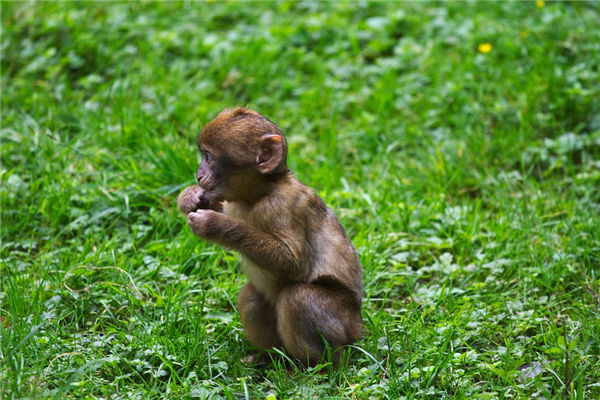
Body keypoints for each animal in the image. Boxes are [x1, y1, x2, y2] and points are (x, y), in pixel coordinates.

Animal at [178, 108, 364, 368]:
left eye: (208, 156)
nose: (198, 175)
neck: (261, 192)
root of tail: (359, 326)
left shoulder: (281, 207)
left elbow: (295, 263)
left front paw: (215, 225)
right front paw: (190, 197)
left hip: (344, 324)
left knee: (298, 298)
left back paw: (316, 367)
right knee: (251, 296)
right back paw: (270, 357)